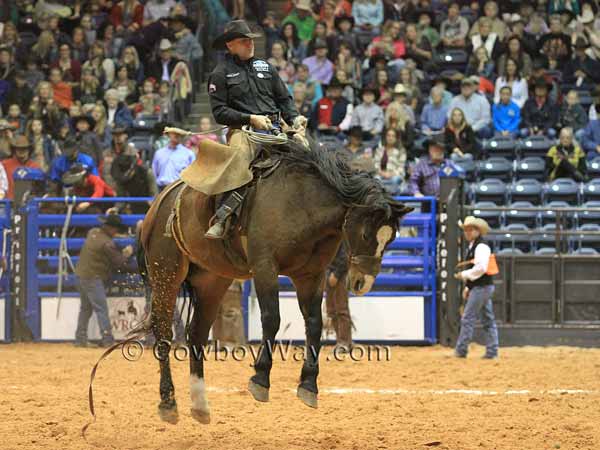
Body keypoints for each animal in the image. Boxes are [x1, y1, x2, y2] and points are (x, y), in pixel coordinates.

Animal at [137, 139, 412, 424]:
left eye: (391, 238)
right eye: (366, 233)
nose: (362, 283)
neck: (302, 204)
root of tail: (160, 203)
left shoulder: (311, 275)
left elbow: (314, 324)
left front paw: (308, 386)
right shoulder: (265, 268)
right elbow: (272, 318)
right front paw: (260, 379)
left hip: (212, 282)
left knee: (197, 334)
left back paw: (200, 405)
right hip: (166, 273)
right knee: (164, 333)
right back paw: (168, 403)